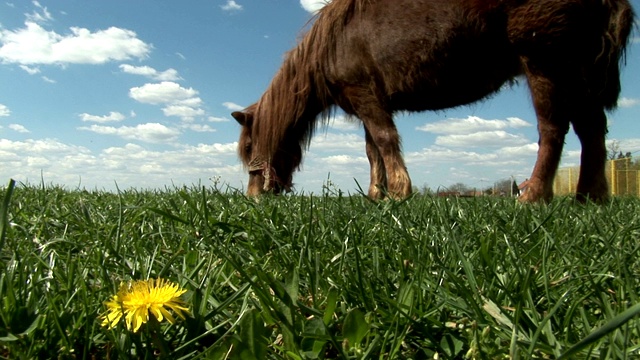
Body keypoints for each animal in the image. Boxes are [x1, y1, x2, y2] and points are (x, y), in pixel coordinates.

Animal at [232, 0, 632, 202]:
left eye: (250, 145)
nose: (253, 198)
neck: (332, 45)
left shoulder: (366, 96)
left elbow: (385, 141)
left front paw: (398, 193)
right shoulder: (368, 101)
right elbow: (372, 151)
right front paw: (377, 195)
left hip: (545, 62)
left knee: (553, 129)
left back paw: (533, 196)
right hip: (576, 72)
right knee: (591, 132)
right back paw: (590, 197)